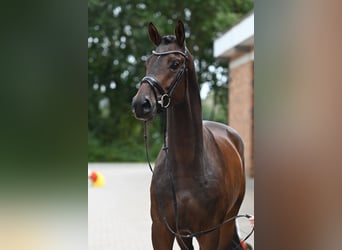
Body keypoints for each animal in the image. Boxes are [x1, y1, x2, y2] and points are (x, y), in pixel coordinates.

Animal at [131, 20, 246, 249]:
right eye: (147, 62)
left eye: (175, 64)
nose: (141, 104)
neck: (186, 169)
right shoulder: (162, 231)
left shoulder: (209, 234)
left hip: (228, 223)